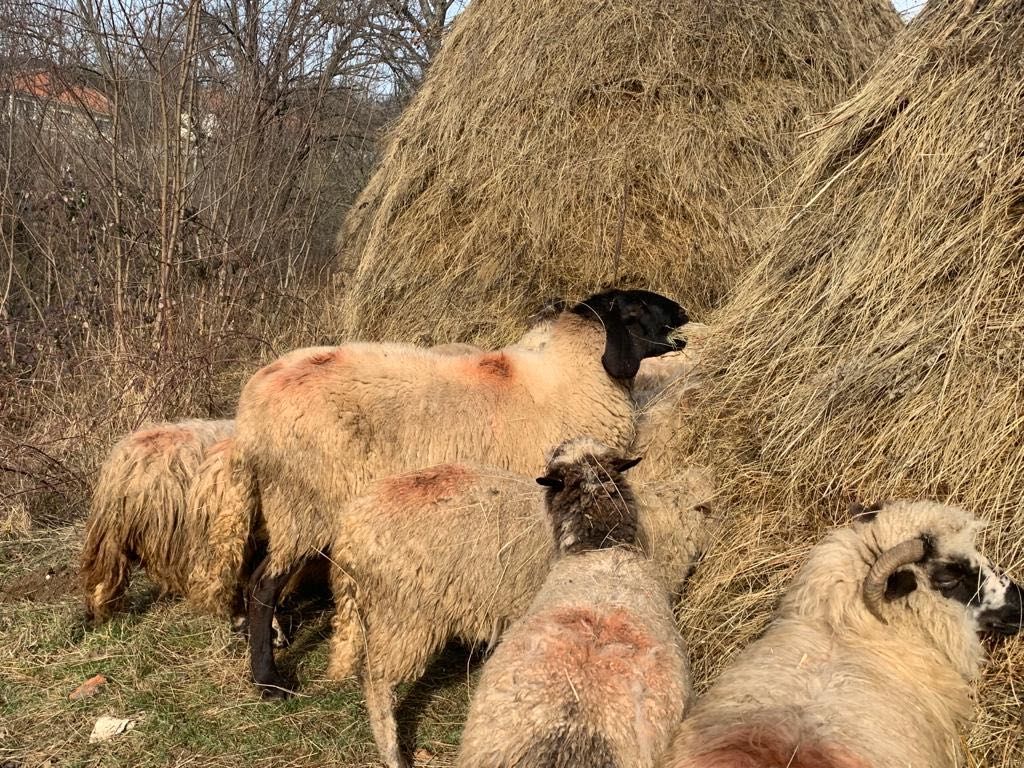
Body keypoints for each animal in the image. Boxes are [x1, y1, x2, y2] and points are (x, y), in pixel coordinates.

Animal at [233, 290, 692, 696]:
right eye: (637, 307)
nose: (685, 315)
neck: (571, 377)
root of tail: (251, 404)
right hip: (307, 501)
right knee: (264, 584)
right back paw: (270, 681)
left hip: (286, 501)